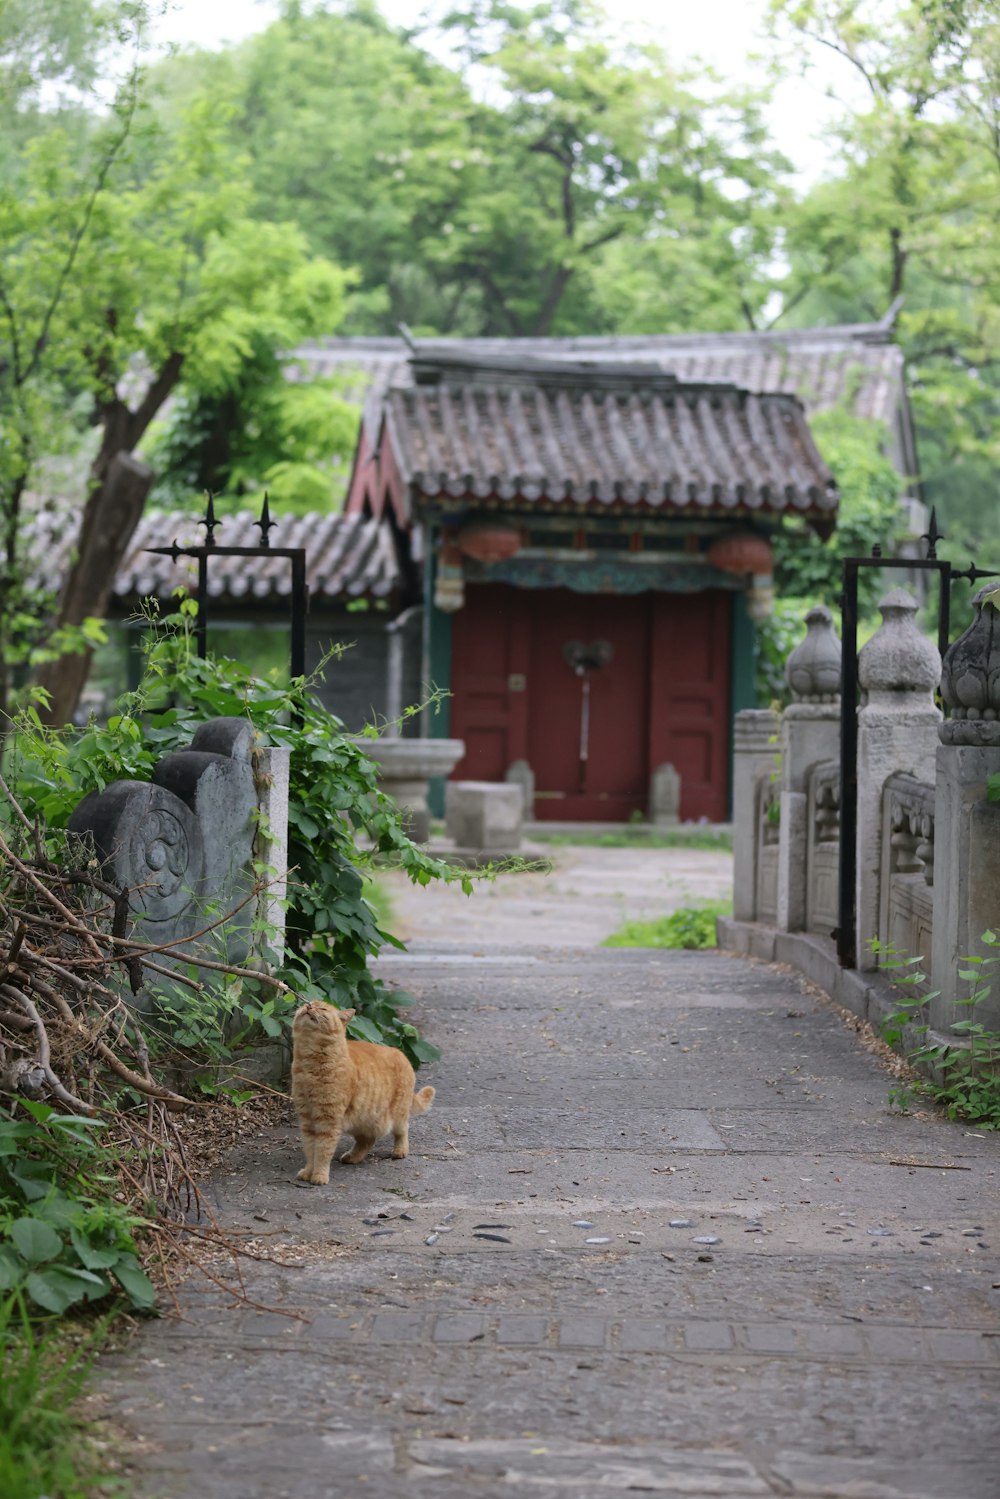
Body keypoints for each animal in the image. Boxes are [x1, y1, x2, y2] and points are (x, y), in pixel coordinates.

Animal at [284, 1001, 434, 1187]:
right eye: (309, 1003)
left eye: (322, 1008)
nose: (308, 1007)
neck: (308, 1064)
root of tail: (401, 1053)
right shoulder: (307, 1120)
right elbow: (311, 1149)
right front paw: (308, 1172)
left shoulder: (328, 1120)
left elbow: (323, 1150)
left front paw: (319, 1175)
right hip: (361, 1119)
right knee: (367, 1140)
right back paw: (352, 1157)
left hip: (397, 1116)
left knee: (403, 1131)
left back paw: (400, 1151)